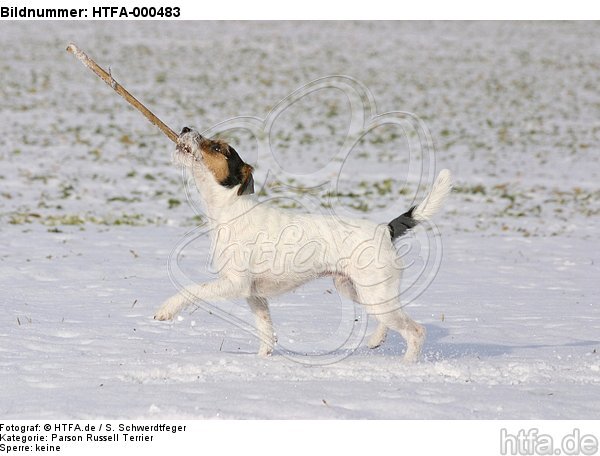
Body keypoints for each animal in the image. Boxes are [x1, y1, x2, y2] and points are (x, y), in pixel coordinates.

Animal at [155, 126, 450, 362]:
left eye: (217, 147)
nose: (185, 128)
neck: (231, 210)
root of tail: (385, 229)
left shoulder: (234, 283)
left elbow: (192, 290)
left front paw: (166, 310)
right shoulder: (254, 295)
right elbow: (266, 331)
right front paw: (262, 359)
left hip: (374, 293)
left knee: (416, 331)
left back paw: (407, 365)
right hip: (357, 290)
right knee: (388, 321)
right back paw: (376, 340)